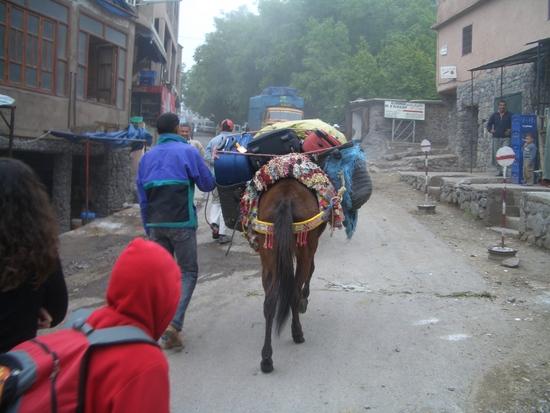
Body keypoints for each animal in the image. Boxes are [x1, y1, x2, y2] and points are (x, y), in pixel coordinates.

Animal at [256, 179, 328, 372]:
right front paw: (305, 299)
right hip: (305, 247)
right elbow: (312, 269)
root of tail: (286, 198)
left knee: (269, 302)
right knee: (294, 292)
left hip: (268, 251)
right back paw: (297, 333)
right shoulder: (312, 247)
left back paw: (266, 358)